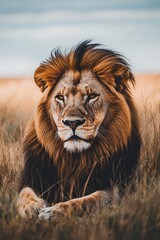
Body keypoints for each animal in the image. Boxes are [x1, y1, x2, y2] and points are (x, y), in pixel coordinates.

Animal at [16, 40, 141, 220]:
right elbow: (25, 194)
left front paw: (54, 212)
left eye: (92, 96)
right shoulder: (32, 177)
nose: (72, 122)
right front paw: (32, 209)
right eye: (60, 97)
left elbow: (87, 201)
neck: (74, 160)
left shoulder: (115, 187)